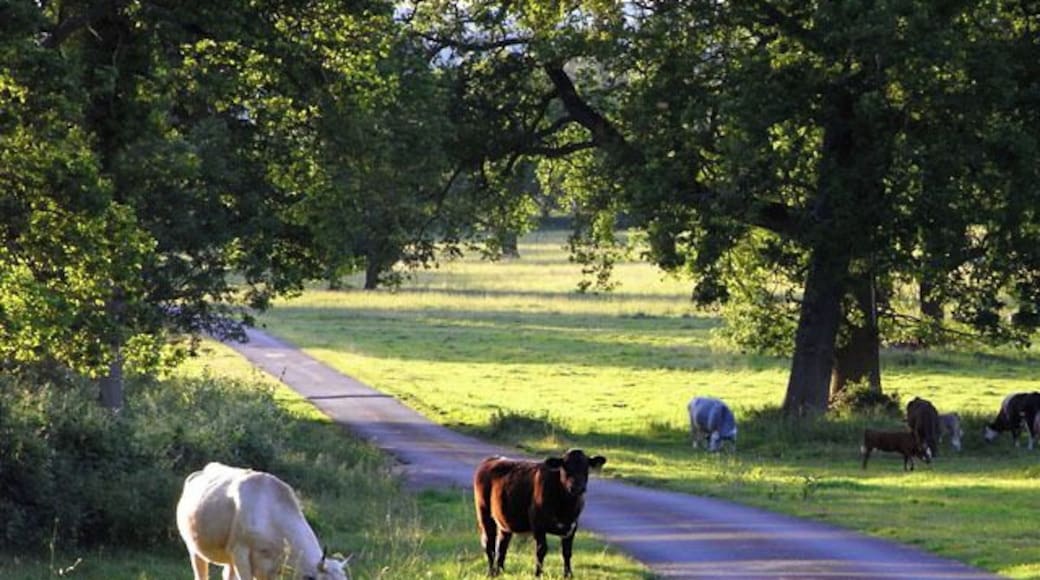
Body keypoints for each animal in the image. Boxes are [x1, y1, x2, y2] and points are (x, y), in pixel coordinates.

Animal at [473, 449, 606, 577]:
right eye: (565, 467)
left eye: (586, 468)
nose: (577, 487)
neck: (565, 508)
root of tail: (493, 459)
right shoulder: (538, 524)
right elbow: (541, 550)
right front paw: (538, 574)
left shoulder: (572, 527)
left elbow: (567, 552)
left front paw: (568, 575)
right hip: (484, 514)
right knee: (489, 545)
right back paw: (491, 573)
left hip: (504, 523)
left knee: (501, 547)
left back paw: (499, 572)